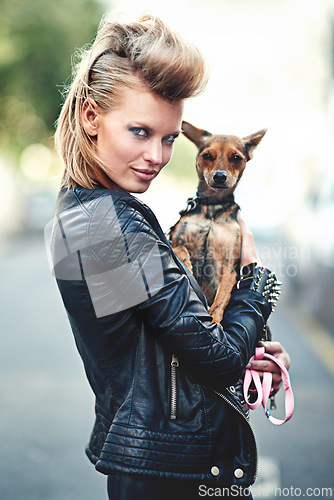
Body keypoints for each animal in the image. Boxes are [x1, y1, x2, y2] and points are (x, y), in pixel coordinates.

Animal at [170, 121, 266, 324]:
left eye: (236, 158)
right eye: (207, 156)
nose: (220, 176)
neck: (213, 207)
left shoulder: (230, 267)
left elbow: (221, 299)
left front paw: (214, 321)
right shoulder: (174, 239)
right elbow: (180, 249)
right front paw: (186, 264)